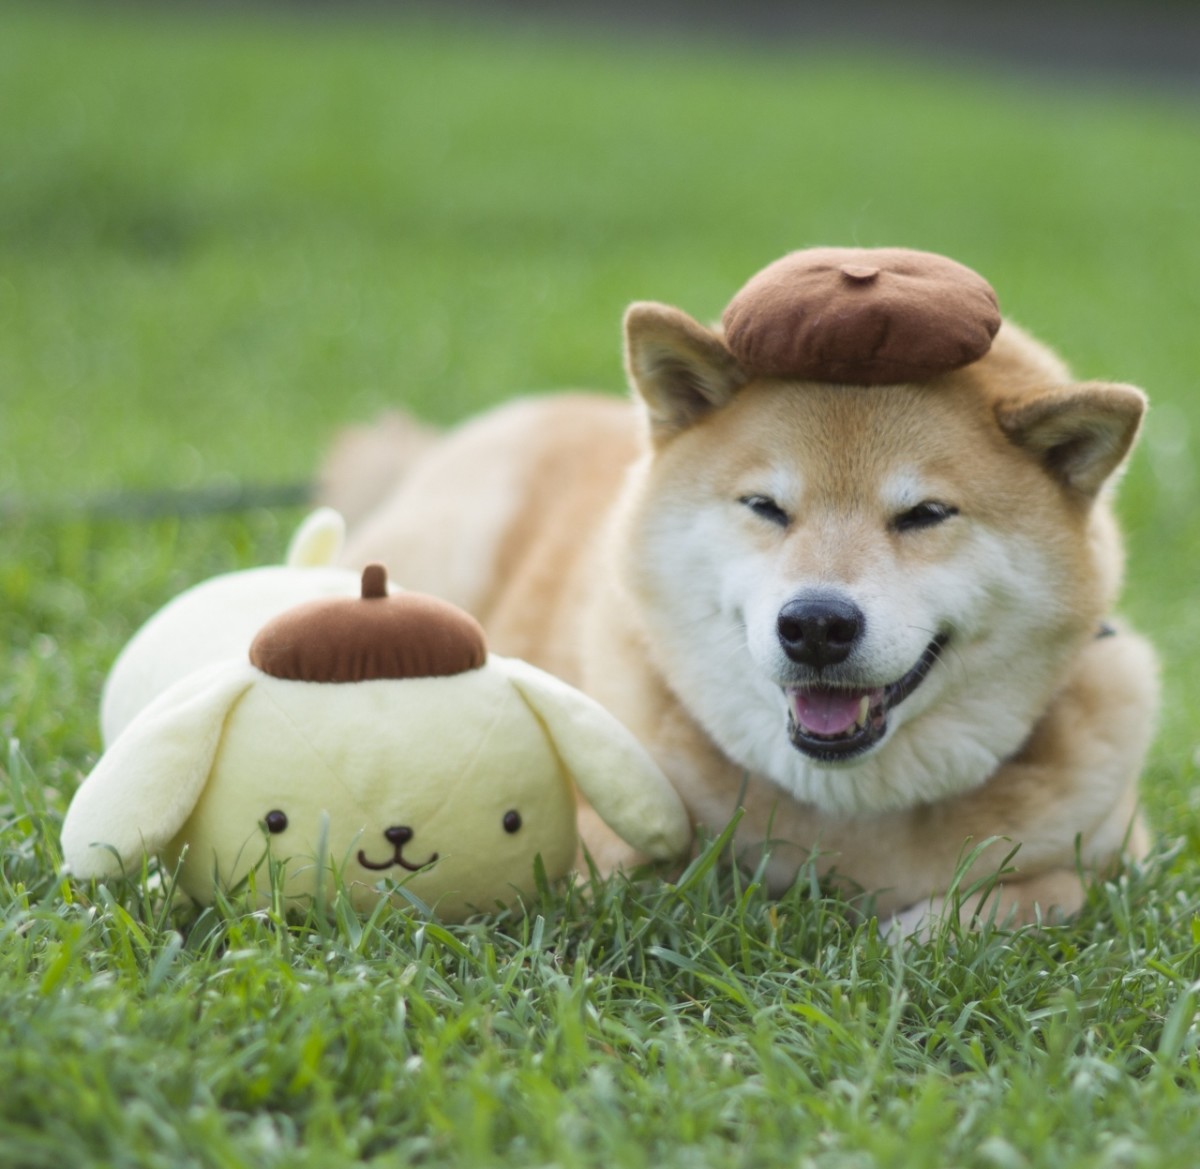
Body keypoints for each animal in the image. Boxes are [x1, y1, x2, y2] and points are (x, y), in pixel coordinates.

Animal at [321, 248, 1158, 933]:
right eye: (765, 506)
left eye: (924, 514)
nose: (816, 623)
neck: (848, 820)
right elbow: (619, 873)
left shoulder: (1125, 855)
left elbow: (1055, 890)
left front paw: (920, 930)